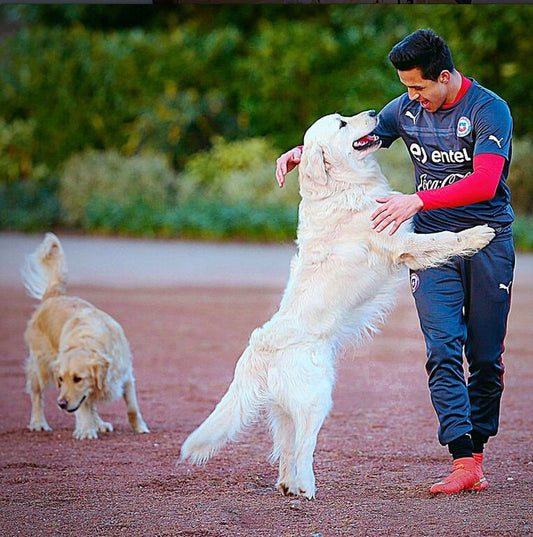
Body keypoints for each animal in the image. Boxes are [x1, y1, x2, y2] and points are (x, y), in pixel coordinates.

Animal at [21, 232, 149, 438]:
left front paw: (139, 427)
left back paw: (100, 423)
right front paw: (86, 430)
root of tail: (53, 295)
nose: (61, 404)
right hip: (40, 366)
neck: (89, 341)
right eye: (61, 379)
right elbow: (83, 408)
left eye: (77, 379)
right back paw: (39, 422)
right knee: (36, 394)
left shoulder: (126, 377)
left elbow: (132, 407)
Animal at [180, 110, 494, 498]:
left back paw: (288, 486)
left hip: (284, 409)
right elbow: (445, 238)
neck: (342, 186)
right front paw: (480, 234)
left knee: (286, 449)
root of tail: (259, 347)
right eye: (342, 124)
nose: (374, 113)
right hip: (317, 398)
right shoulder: (401, 243)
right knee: (303, 447)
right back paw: (306, 488)